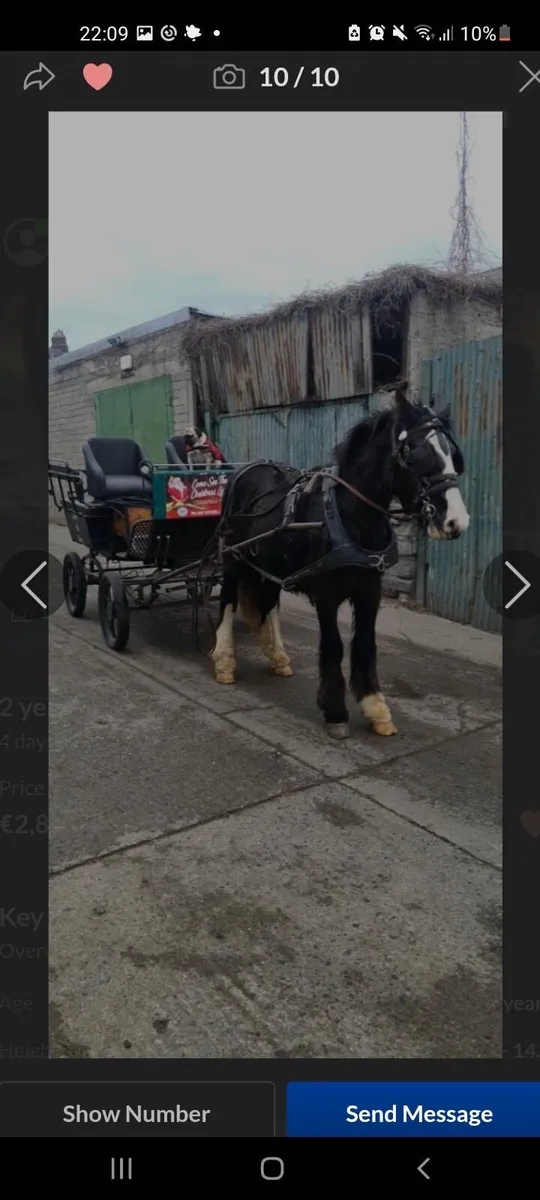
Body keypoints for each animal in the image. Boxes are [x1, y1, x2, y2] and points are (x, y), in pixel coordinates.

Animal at [210, 387, 469, 739]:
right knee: (227, 601)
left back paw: (278, 656)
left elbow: (365, 644)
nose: (457, 521)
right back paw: (224, 661)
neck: (350, 515)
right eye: (417, 455)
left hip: (270, 564)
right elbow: (333, 645)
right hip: (233, 558)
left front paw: (375, 707)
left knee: (269, 604)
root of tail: (244, 470)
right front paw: (335, 712)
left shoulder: (370, 591)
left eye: (453, 455)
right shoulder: (326, 594)